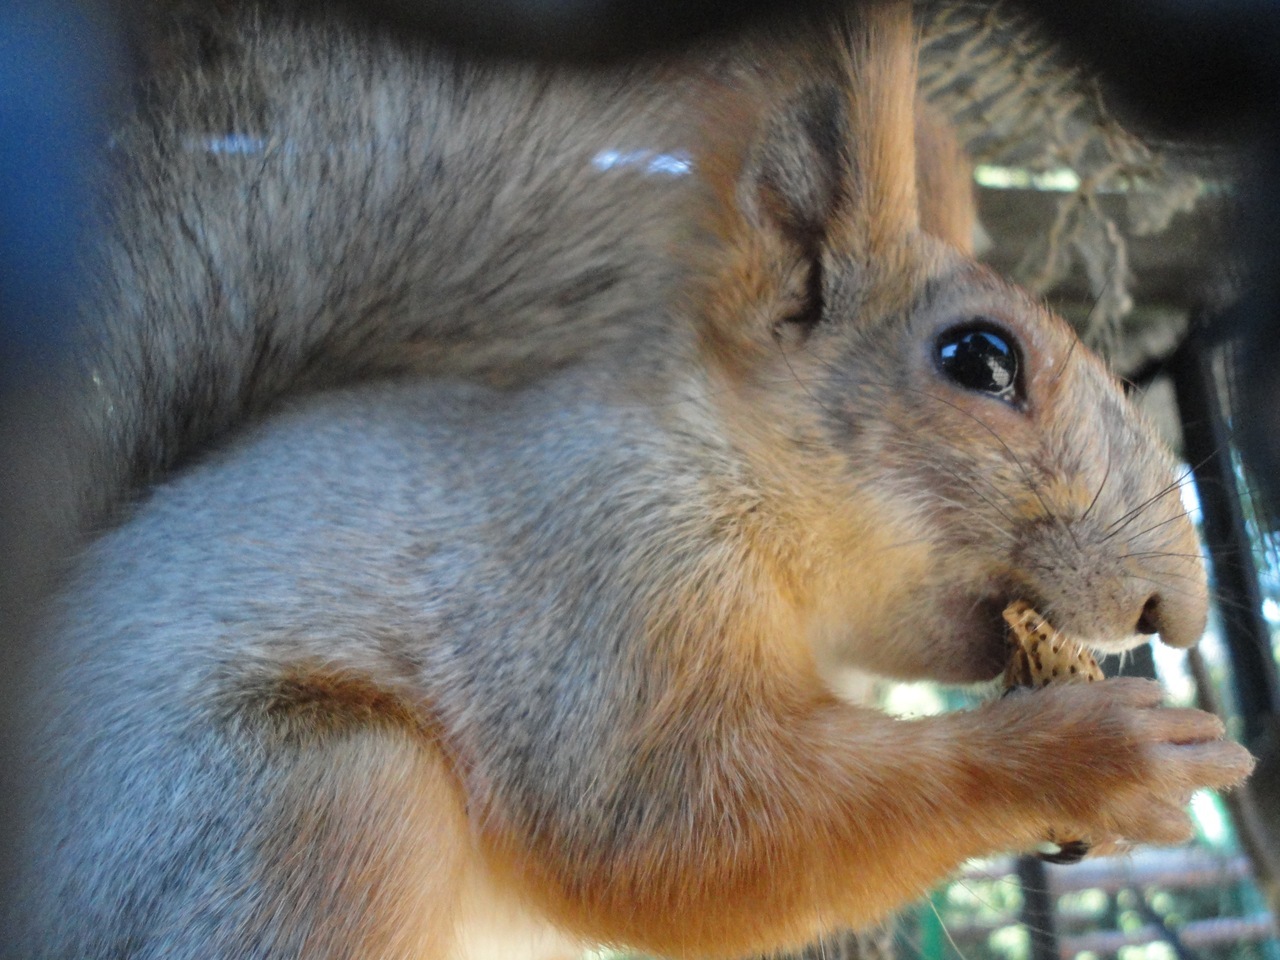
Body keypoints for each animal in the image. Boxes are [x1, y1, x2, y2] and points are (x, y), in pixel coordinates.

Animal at [12, 1, 1249, 960]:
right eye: (979, 360)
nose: (1176, 611)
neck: (726, 463)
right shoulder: (595, 575)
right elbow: (658, 822)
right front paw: (1094, 756)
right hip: (300, 808)